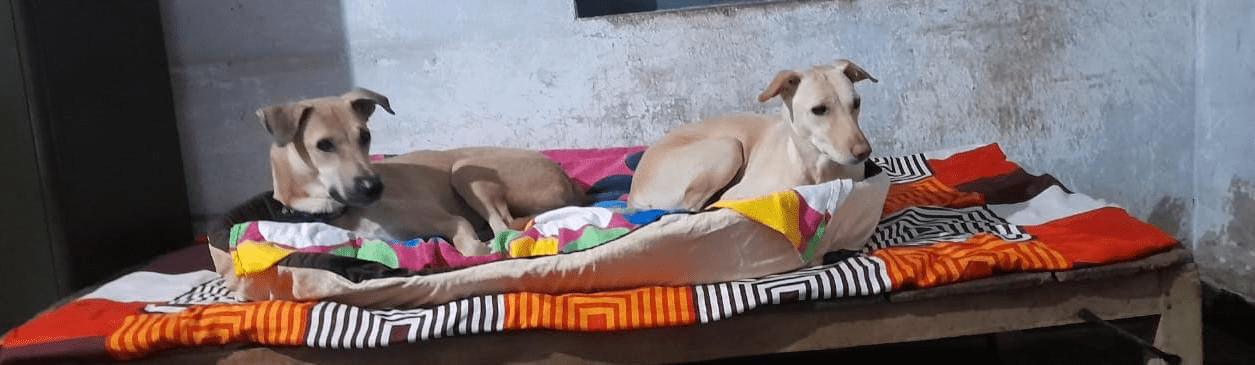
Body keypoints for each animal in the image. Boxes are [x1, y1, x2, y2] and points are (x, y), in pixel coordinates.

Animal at [258, 88, 587, 254]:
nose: (375, 187)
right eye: (324, 145)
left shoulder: (452, 221)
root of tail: (570, 182)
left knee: (504, 226)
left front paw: (477, 248)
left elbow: (471, 248)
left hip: (465, 170)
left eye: (365, 136)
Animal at [632, 60, 878, 211]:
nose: (864, 152)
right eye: (819, 110)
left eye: (856, 103)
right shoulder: (737, 196)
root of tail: (634, 191)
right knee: (688, 207)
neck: (818, 168)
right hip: (729, 146)